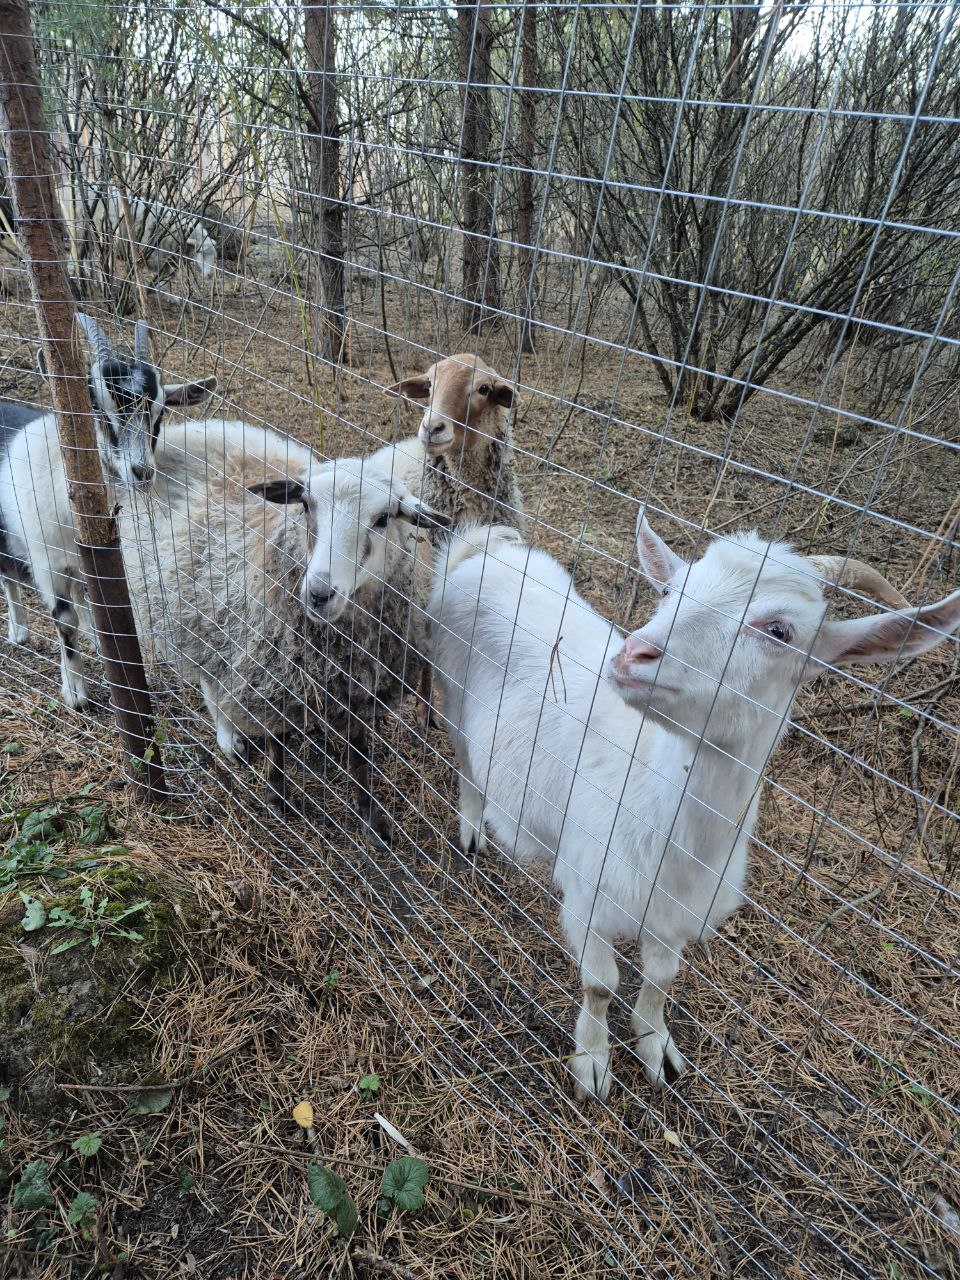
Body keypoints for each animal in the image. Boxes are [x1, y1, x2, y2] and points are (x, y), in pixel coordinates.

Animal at [0, 314, 217, 707]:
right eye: (97, 408)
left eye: (160, 412)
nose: (141, 472)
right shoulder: (49, 564)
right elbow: (65, 622)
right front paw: (75, 692)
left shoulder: (90, 564)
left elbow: (98, 616)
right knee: (7, 574)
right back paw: (19, 629)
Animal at [120, 420, 449, 836]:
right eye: (305, 505)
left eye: (384, 518)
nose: (319, 594)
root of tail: (187, 430)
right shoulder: (273, 675)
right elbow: (277, 743)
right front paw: (278, 799)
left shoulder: (362, 690)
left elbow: (360, 757)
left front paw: (371, 819)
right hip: (190, 613)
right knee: (210, 679)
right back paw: (228, 736)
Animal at [429, 518, 960, 1101]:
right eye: (669, 591)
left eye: (780, 630)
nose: (635, 653)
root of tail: (480, 552)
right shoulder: (587, 891)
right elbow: (600, 984)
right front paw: (592, 1063)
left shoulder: (677, 913)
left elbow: (662, 977)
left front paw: (655, 1045)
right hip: (451, 691)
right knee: (465, 764)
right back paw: (473, 831)